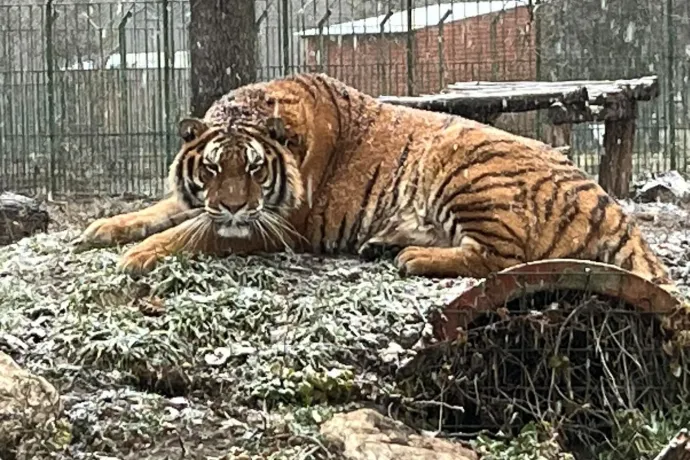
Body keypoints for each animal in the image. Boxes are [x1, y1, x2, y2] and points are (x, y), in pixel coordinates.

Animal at [74, 74, 672, 292]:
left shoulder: (278, 226)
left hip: (465, 167)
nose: (235, 206)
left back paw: (412, 257)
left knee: (502, 259)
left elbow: (192, 232)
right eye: (214, 168)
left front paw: (138, 256)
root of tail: (610, 204)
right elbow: (161, 211)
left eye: (255, 170)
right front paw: (101, 229)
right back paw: (384, 244)